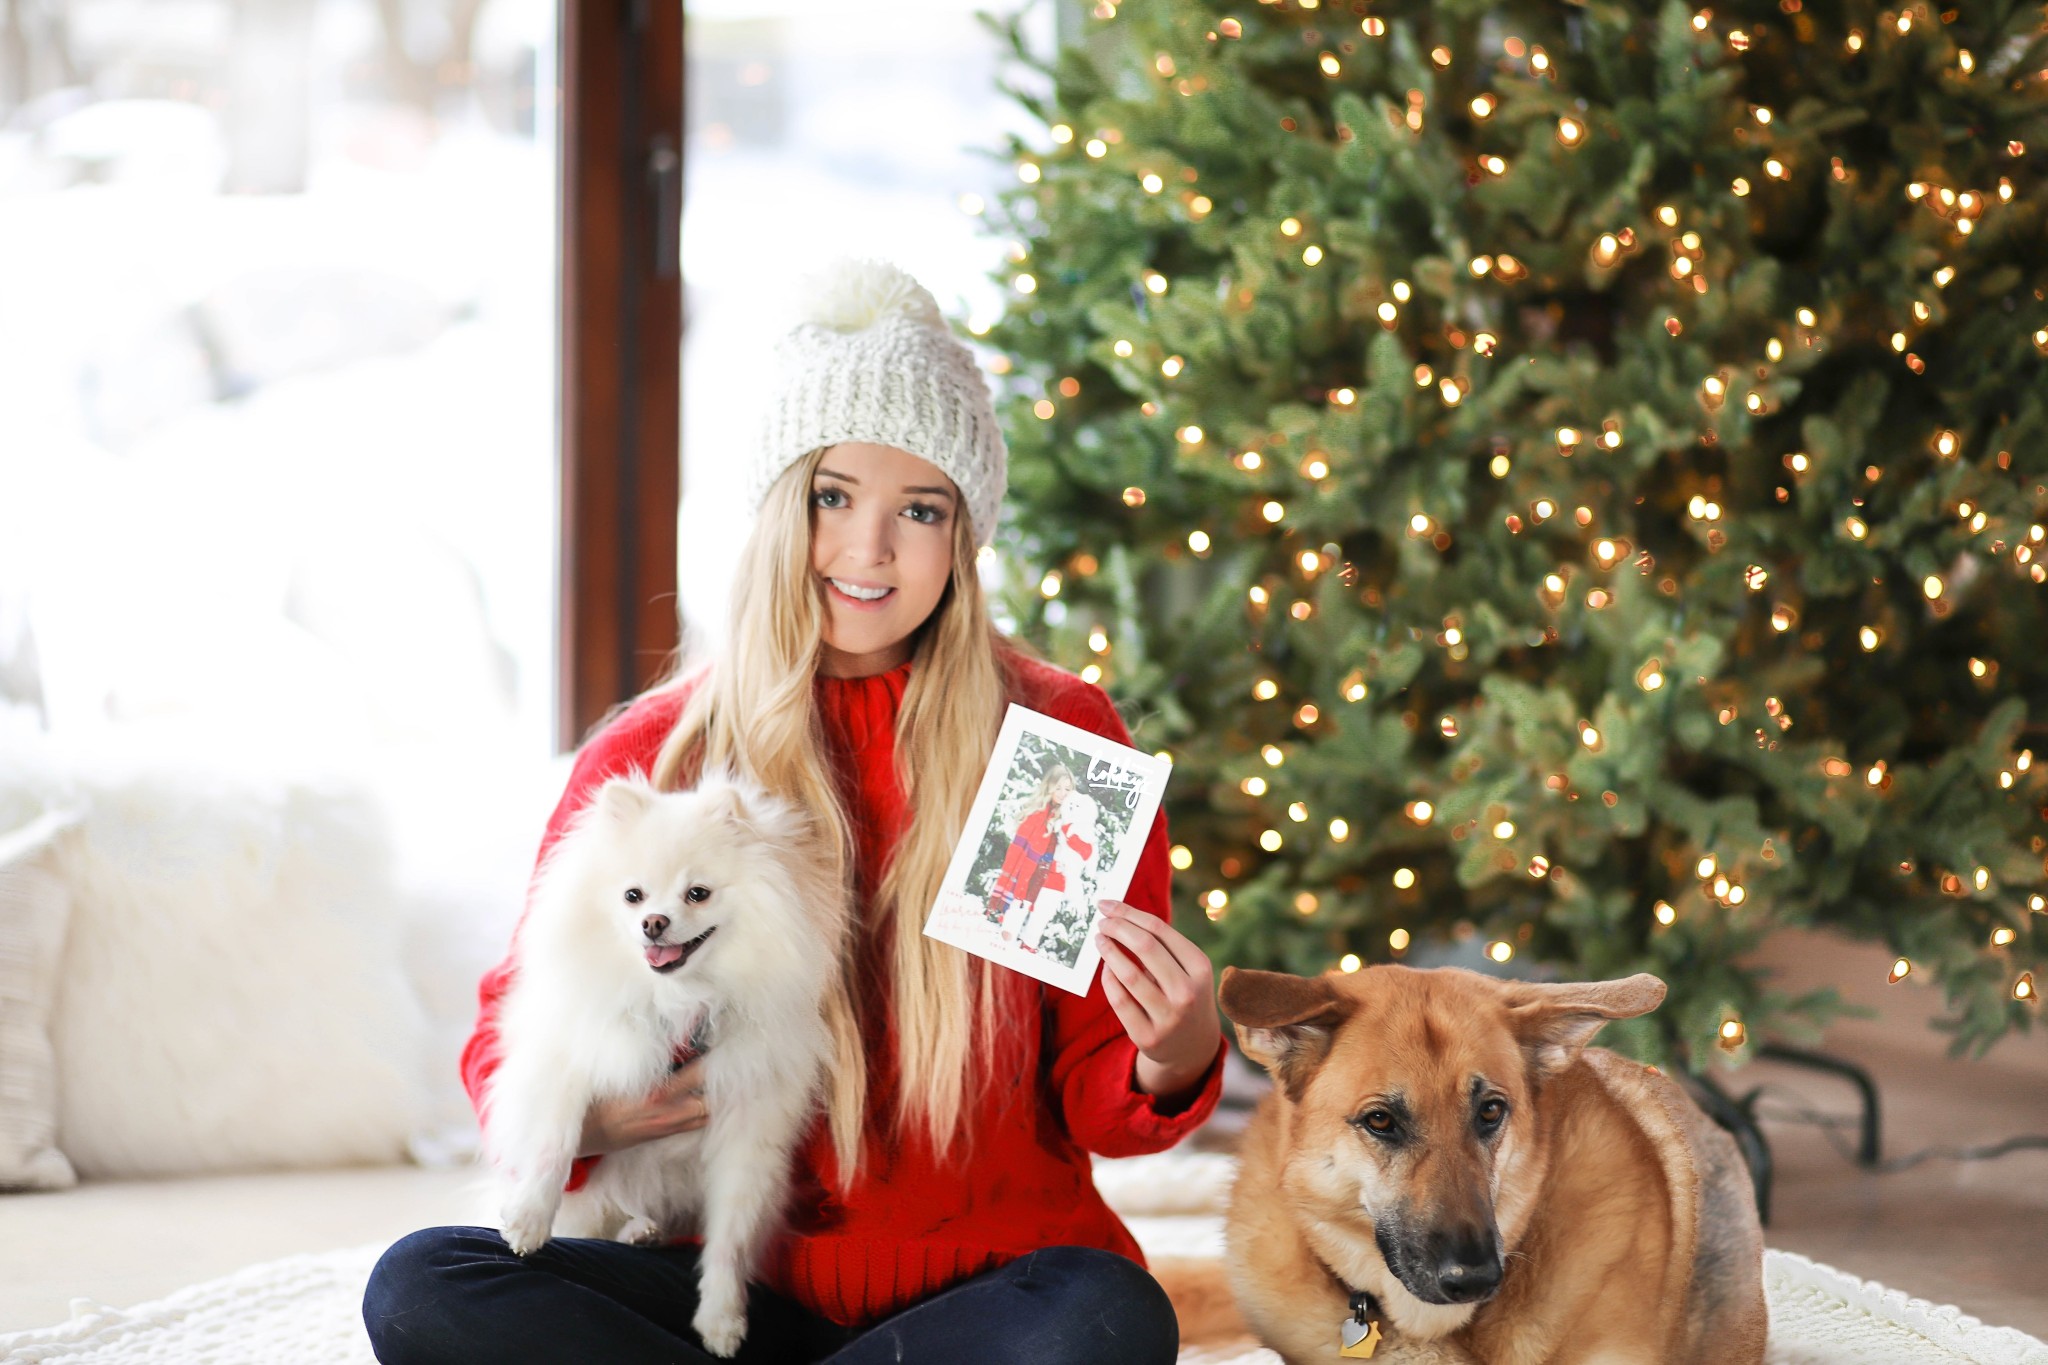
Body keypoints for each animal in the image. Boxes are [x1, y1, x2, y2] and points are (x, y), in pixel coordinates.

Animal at [487, 769, 839, 1358]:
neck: (677, 999)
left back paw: (645, 1232)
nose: (654, 922)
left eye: (698, 893)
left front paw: (722, 1318)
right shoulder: (568, 1056)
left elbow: (729, 1236)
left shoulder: (748, 1122)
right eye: (633, 896)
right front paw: (529, 1219)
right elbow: (555, 1140)